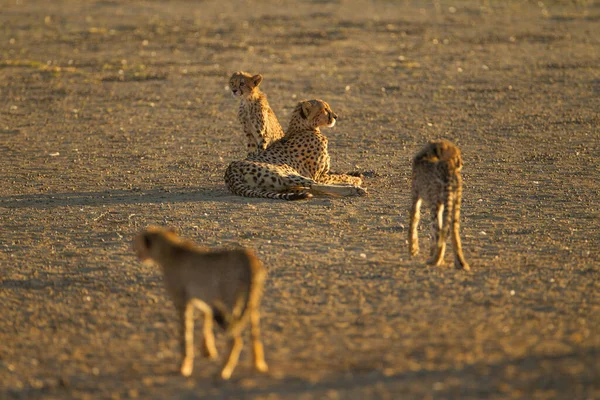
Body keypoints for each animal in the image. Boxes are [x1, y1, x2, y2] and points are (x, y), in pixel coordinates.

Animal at [136, 227, 270, 380]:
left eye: (137, 242)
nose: (135, 251)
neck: (170, 250)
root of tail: (248, 256)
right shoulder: (202, 298)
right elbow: (206, 319)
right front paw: (207, 351)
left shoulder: (183, 302)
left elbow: (185, 334)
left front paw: (184, 367)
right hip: (251, 305)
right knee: (255, 335)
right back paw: (258, 365)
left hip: (231, 304)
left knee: (235, 339)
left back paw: (222, 372)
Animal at [225, 99, 366, 202]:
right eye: (325, 109)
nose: (336, 116)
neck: (305, 128)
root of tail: (230, 172)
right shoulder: (319, 176)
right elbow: (337, 176)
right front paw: (354, 179)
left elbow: (338, 173)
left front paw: (356, 174)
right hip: (286, 171)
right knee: (314, 185)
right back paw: (355, 189)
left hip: (280, 185)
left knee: (309, 188)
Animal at [410, 139, 472, 270]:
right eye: (456, 156)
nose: (462, 163)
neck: (428, 154)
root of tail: (450, 171)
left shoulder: (416, 195)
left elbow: (414, 220)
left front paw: (412, 249)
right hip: (454, 205)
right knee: (452, 231)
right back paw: (459, 263)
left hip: (436, 204)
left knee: (439, 230)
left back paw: (435, 260)